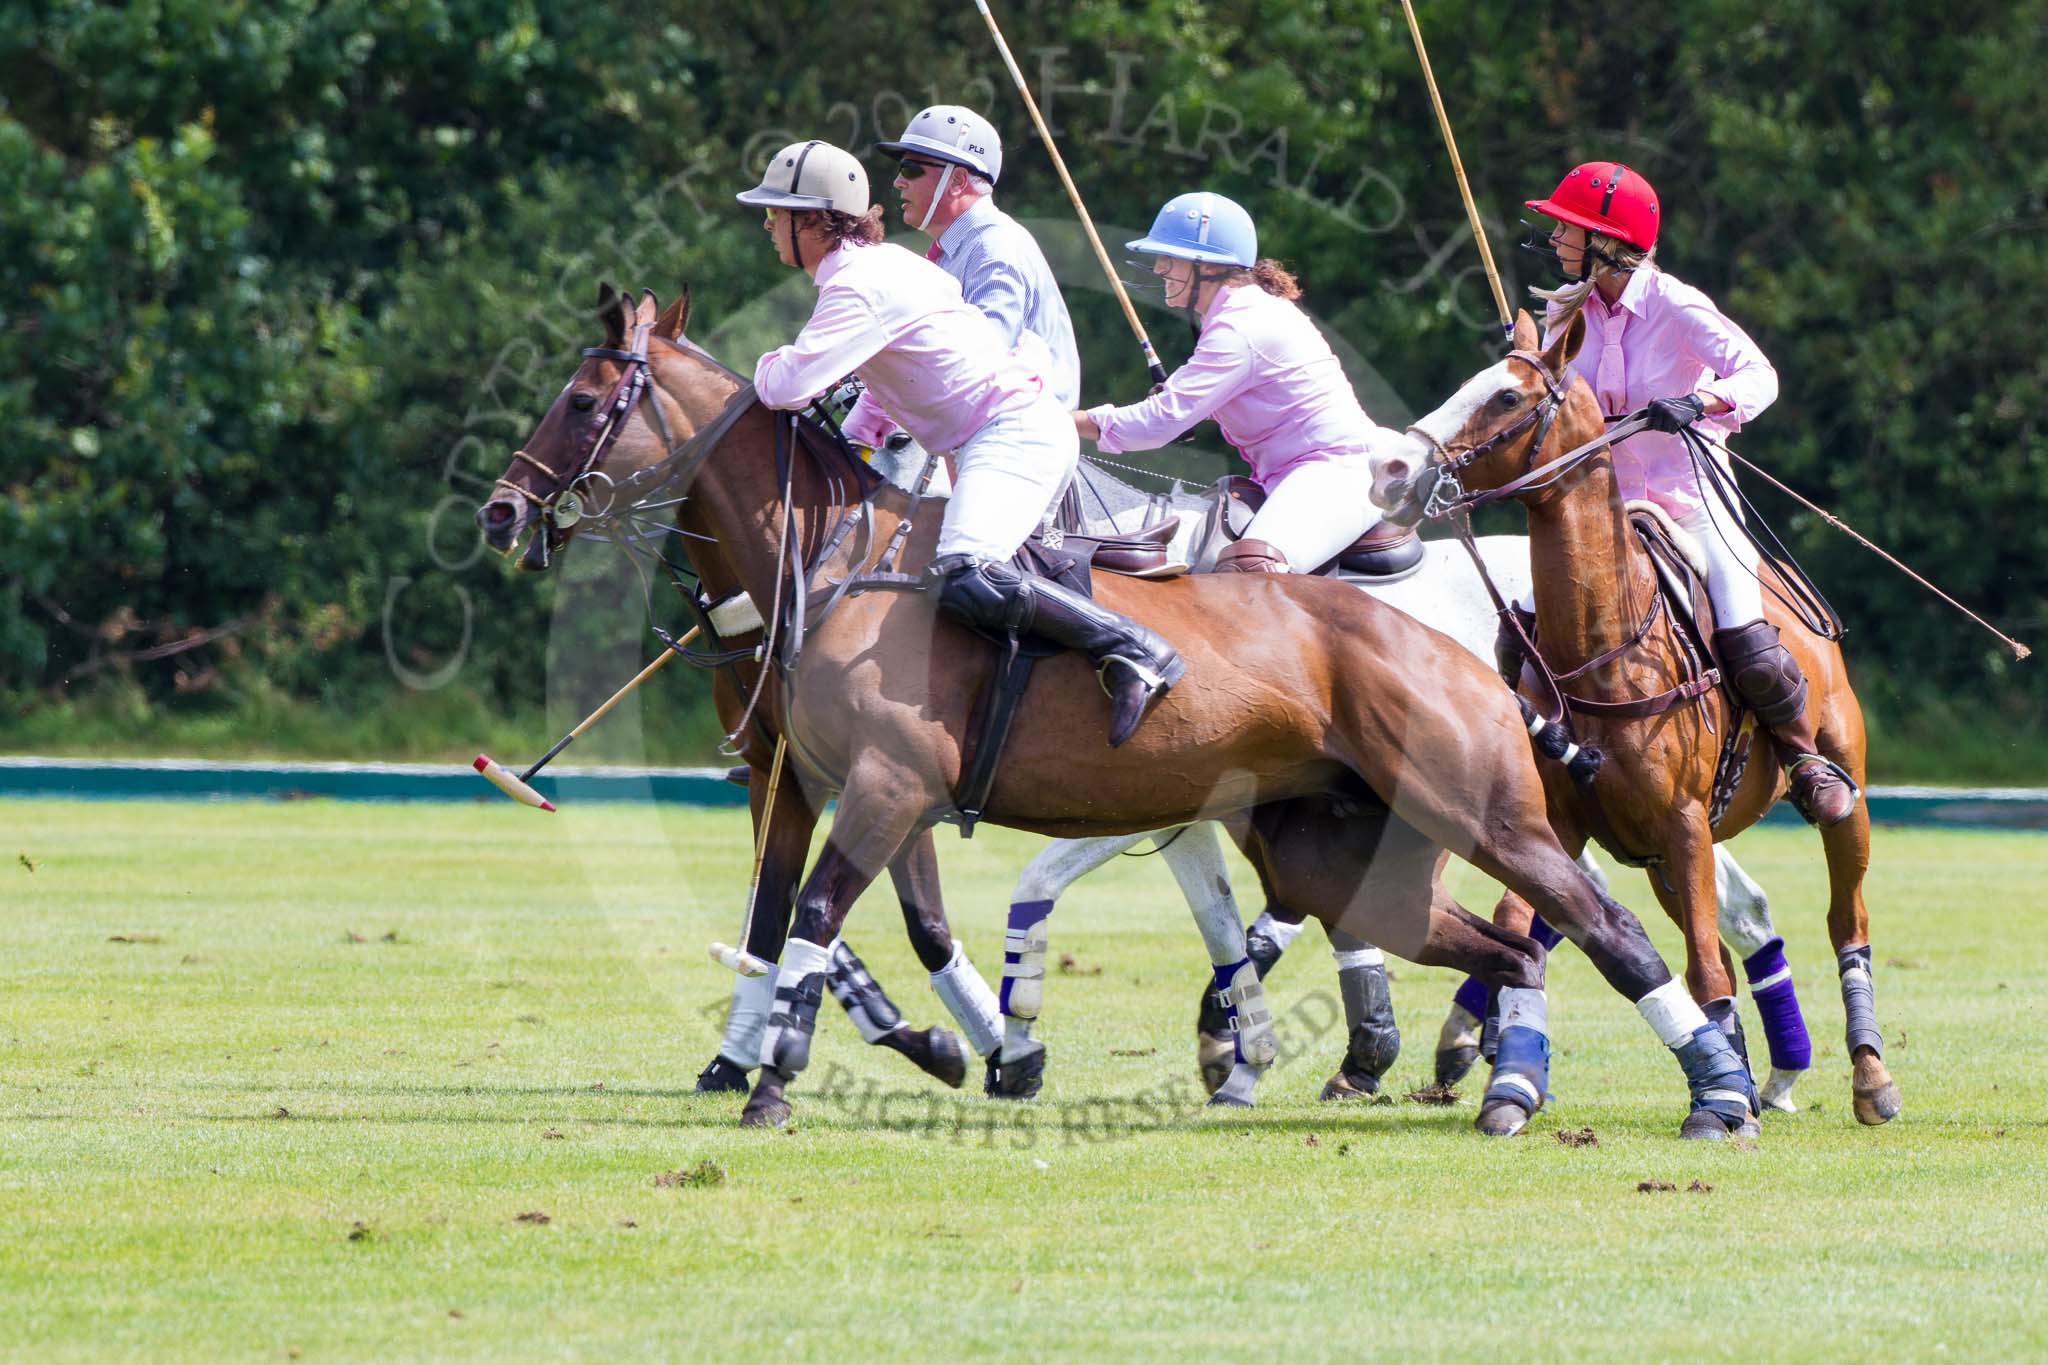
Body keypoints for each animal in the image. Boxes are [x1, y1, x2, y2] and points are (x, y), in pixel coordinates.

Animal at [483, 290, 1761, 1146]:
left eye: (584, 401)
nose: (501, 513)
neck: (837, 560)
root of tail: (1473, 647)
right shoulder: (816, 783)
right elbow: (797, 920)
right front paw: (930, 1049)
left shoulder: (891, 784)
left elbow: (816, 916)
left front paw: (783, 1077)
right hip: (1350, 861)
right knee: (1508, 947)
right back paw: (1502, 1083)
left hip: (1488, 814)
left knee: (1612, 930)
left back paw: (1719, 1094)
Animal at [1368, 309, 1892, 1129]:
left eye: (1508, 397)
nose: (1390, 468)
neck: (1602, 646)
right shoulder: (1567, 823)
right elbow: (1525, 933)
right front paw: (1509, 1088)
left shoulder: (1682, 820)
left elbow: (1703, 967)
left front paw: (1716, 1109)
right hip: (1661, 857)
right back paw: (1750, 1076)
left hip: (1840, 794)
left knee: (1846, 918)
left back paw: (1867, 1076)